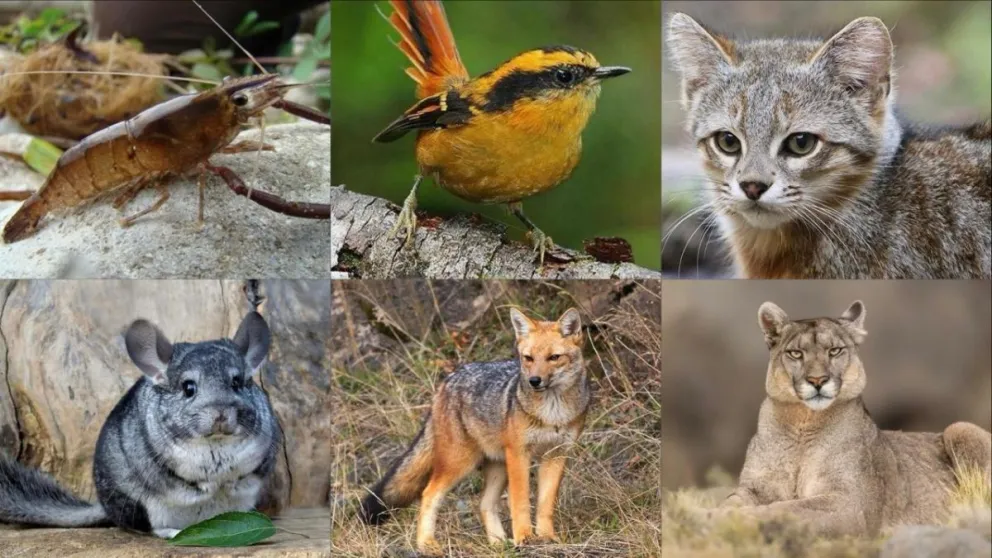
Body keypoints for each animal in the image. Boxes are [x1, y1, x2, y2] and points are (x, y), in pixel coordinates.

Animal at [359, 307, 590, 555]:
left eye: (554, 357)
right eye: (528, 358)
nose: (534, 380)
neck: (552, 414)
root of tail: (449, 379)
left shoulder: (557, 454)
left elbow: (546, 505)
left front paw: (547, 537)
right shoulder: (519, 454)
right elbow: (520, 502)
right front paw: (525, 538)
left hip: (498, 466)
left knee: (484, 503)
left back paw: (499, 543)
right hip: (461, 462)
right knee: (428, 493)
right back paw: (426, 543)